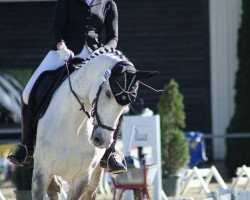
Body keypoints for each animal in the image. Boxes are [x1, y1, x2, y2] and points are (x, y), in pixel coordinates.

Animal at [32, 48, 158, 200]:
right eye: (108, 93)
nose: (101, 140)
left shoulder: (82, 178)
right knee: (55, 188)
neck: (72, 126)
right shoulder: (41, 172)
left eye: (129, 102)